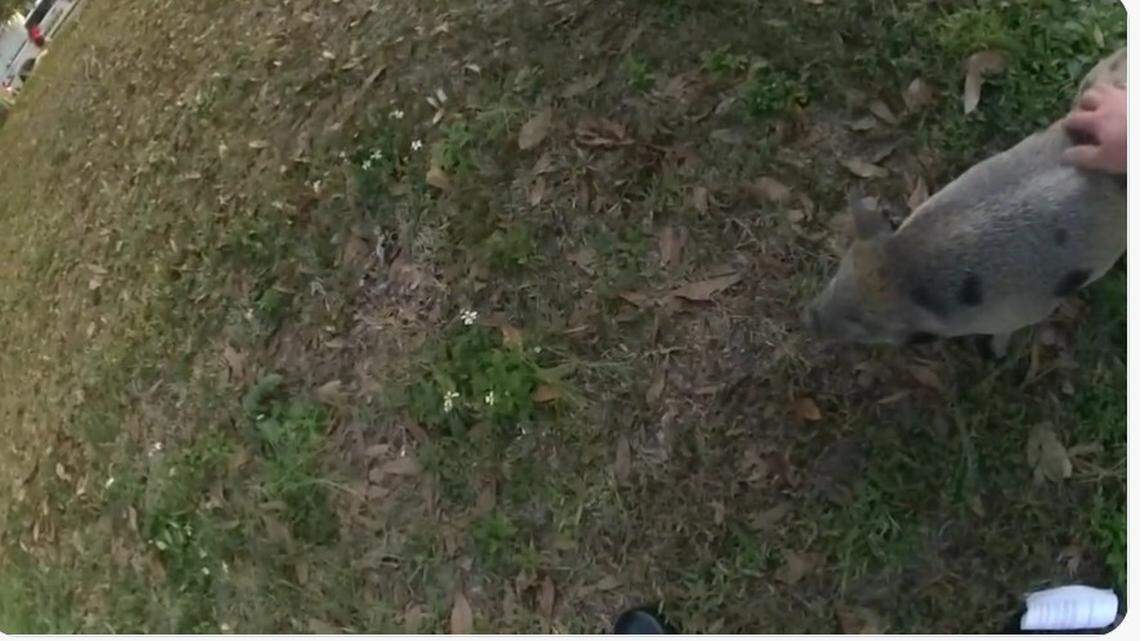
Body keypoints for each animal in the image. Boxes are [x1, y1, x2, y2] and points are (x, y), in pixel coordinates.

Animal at [803, 47, 1126, 358]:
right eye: (838, 276)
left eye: (862, 323)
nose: (810, 318)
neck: (906, 262)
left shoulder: (1024, 309)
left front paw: (995, 355)